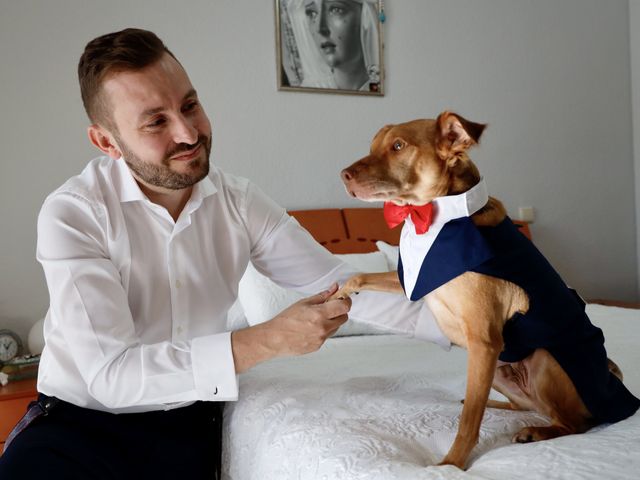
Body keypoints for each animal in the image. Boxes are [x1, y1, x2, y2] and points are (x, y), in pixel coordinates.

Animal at [336, 111, 640, 468]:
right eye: (372, 146)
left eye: (398, 146)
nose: (343, 175)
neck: (437, 219)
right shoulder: (414, 281)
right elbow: (360, 276)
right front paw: (338, 292)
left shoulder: (483, 341)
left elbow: (469, 422)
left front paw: (450, 465)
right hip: (497, 369)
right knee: (521, 405)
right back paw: (502, 407)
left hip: (542, 359)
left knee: (575, 423)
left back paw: (535, 431)